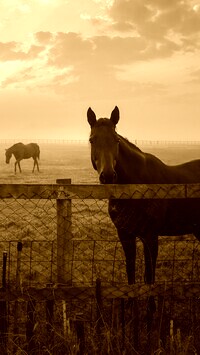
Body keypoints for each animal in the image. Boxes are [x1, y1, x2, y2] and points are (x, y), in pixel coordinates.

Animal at [88, 106, 200, 286]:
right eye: (92, 140)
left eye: (116, 140)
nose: (108, 176)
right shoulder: (125, 235)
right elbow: (131, 274)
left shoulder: (150, 236)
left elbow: (149, 278)